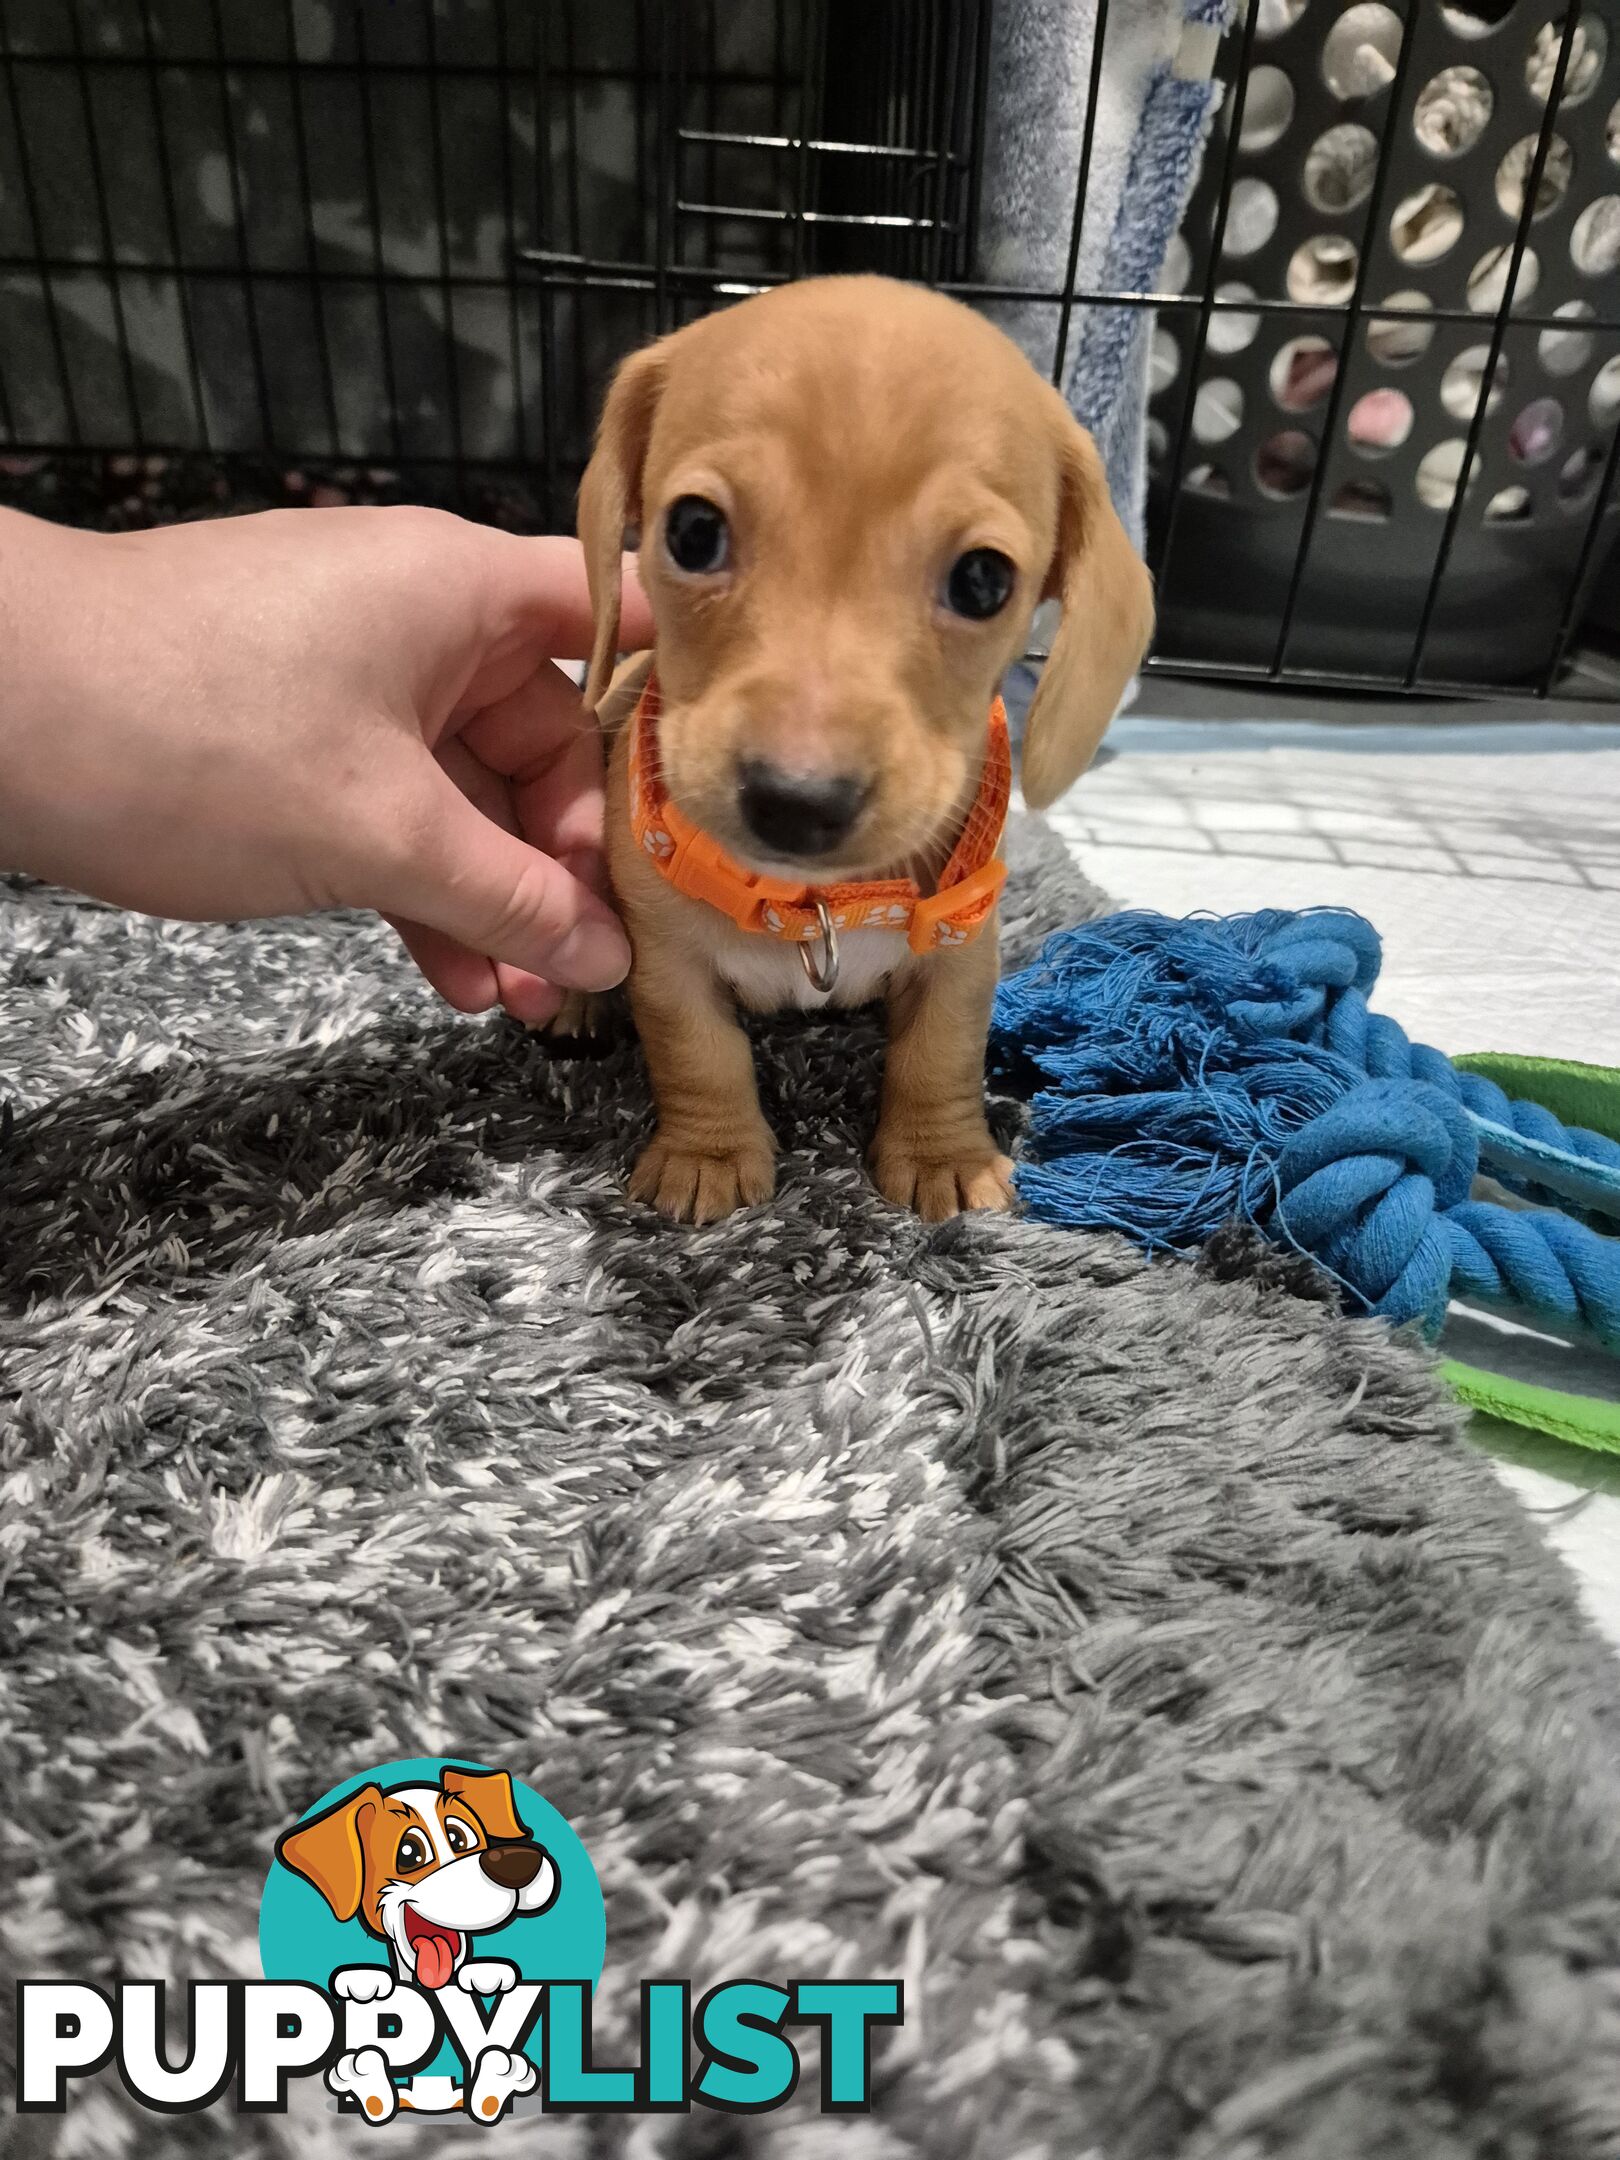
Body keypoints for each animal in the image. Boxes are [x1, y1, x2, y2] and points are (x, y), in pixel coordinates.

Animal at [570, 276, 1157, 1226]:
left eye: (984, 580)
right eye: (692, 531)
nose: (795, 799)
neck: (813, 905)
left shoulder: (963, 950)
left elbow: (942, 1052)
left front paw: (943, 1155)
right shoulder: (664, 961)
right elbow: (697, 1051)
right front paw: (708, 1154)